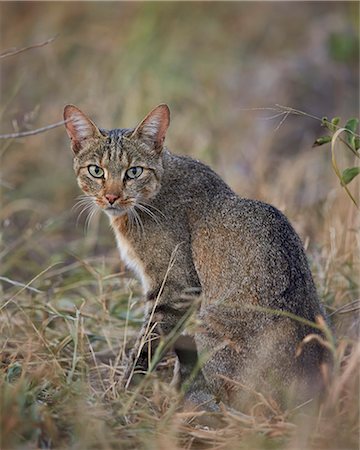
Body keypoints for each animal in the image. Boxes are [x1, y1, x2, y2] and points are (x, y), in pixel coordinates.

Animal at [64, 103, 330, 414]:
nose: (111, 197)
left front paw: (124, 394)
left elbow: (147, 346)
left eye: (134, 171)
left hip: (209, 327)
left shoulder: (175, 289)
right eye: (96, 171)